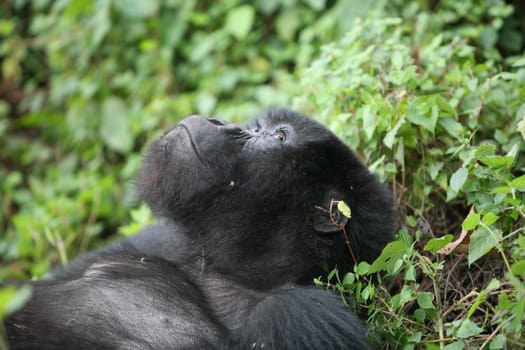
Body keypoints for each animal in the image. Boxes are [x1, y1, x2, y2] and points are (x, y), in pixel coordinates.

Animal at [5, 108, 392, 348]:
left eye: (279, 137)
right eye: (256, 128)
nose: (219, 120)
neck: (227, 270)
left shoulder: (302, 316)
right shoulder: (161, 238)